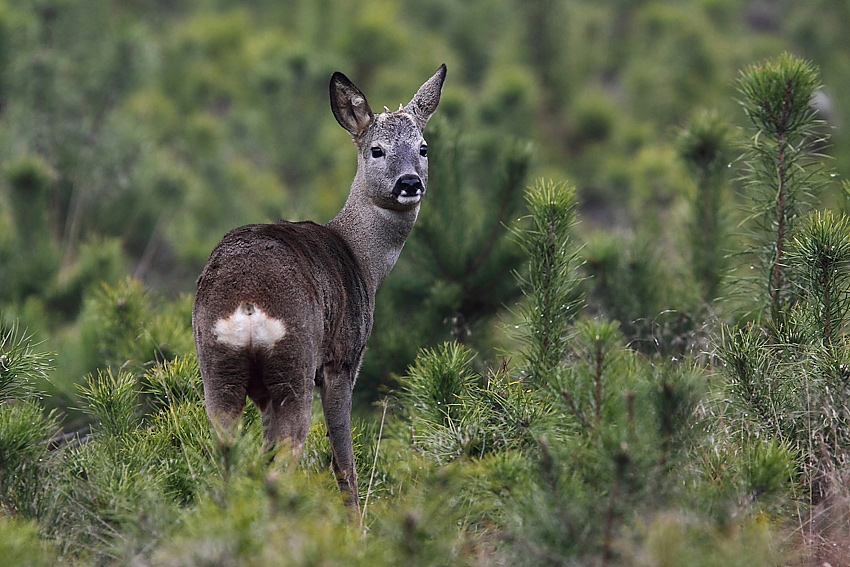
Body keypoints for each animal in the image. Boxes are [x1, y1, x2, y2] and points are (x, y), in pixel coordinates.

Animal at [190, 64, 444, 516]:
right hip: (296, 363)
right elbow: (343, 460)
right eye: (376, 150)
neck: (362, 260)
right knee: (287, 458)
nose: (409, 182)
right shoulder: (343, 359)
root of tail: (247, 306)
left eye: (423, 147)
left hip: (218, 369)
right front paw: (355, 521)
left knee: (231, 457)